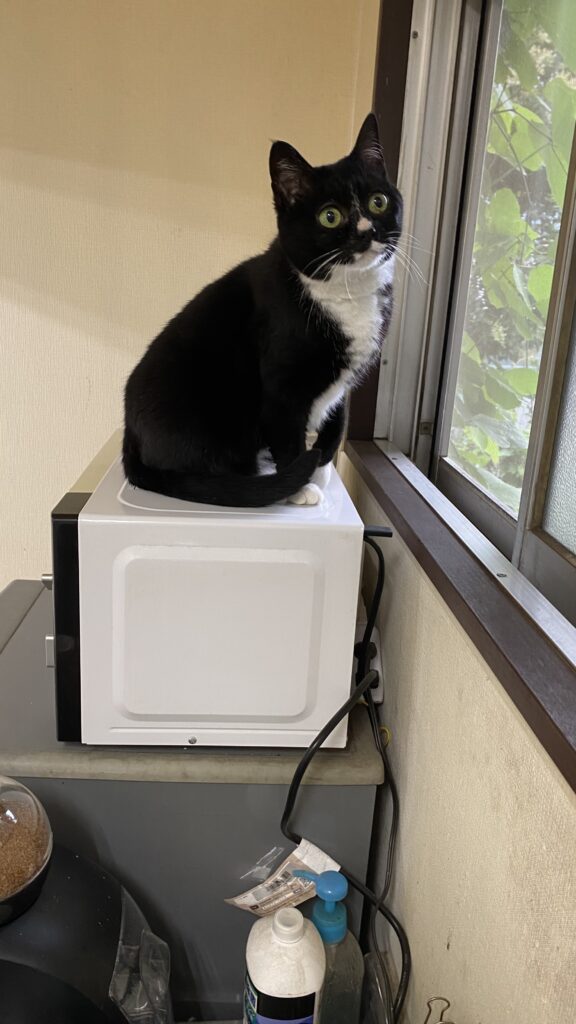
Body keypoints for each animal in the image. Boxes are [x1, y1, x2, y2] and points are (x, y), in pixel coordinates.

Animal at [123, 113, 402, 507]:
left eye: (378, 201)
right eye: (329, 216)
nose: (367, 231)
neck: (347, 292)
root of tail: (129, 434)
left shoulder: (344, 382)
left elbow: (335, 425)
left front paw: (321, 469)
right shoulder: (281, 386)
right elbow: (288, 435)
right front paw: (300, 486)